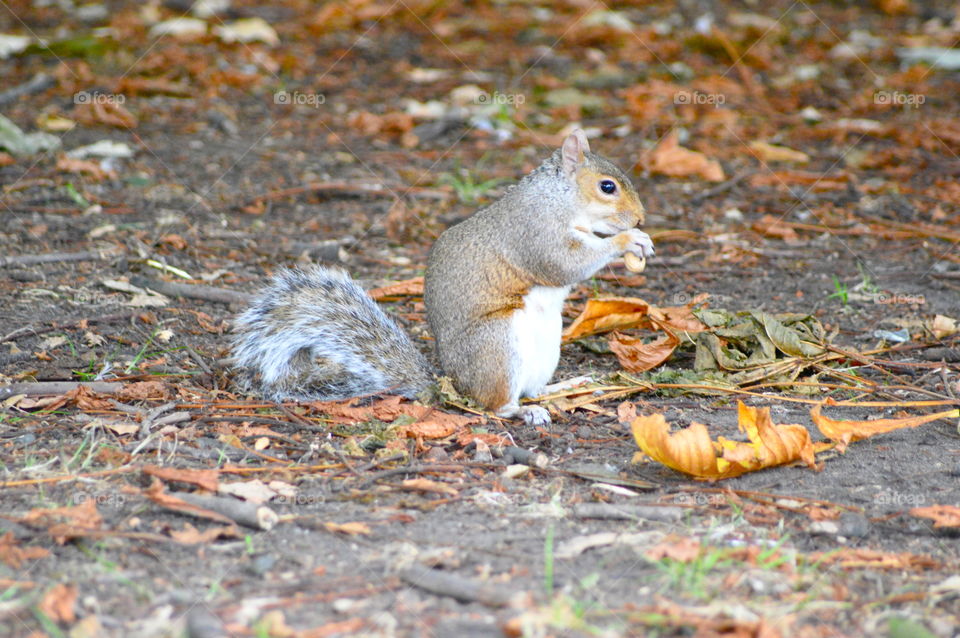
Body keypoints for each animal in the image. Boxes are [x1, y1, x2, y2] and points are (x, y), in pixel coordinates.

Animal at [230, 129, 654, 425]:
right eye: (607, 187)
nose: (640, 218)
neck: (559, 199)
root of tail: (451, 384)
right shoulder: (533, 233)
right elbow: (564, 263)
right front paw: (627, 241)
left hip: (547, 346)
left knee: (534, 387)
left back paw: (565, 386)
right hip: (497, 345)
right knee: (495, 404)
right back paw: (521, 411)